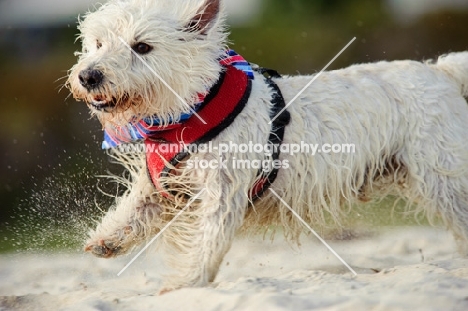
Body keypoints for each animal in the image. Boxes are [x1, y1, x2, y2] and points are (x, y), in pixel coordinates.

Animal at [66, 0, 468, 292]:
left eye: (143, 47)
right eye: (98, 43)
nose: (88, 76)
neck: (191, 110)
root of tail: (442, 71)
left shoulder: (222, 192)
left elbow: (208, 240)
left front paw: (186, 283)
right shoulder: (160, 187)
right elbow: (133, 211)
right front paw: (107, 239)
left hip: (444, 178)